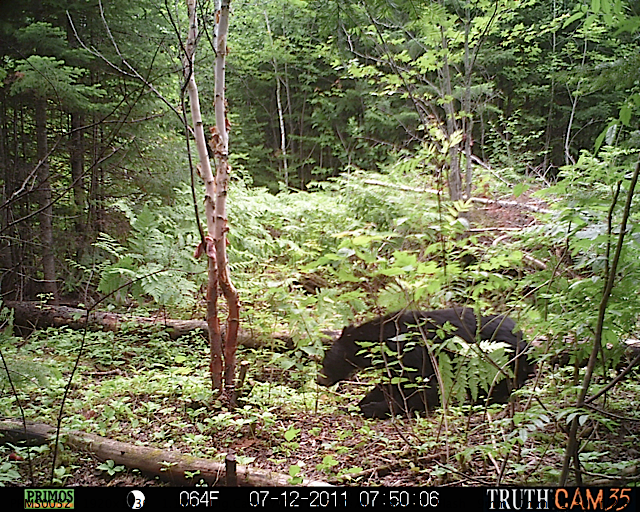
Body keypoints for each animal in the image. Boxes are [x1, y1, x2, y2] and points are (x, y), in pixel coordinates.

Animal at [318, 306, 532, 418]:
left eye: (326, 361)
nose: (319, 380)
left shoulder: (415, 356)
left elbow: (421, 389)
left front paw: (373, 408)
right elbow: (392, 384)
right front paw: (361, 403)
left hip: (500, 361)